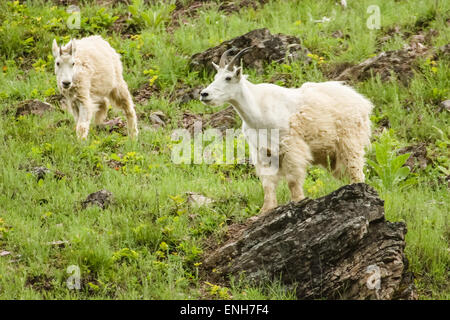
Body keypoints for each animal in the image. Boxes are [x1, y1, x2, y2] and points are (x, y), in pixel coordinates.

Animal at [200, 48, 372, 214]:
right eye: (215, 76)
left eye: (228, 78)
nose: (204, 94)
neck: (258, 111)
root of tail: (362, 102)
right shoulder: (262, 150)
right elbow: (268, 183)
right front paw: (266, 210)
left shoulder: (291, 146)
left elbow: (292, 179)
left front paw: (297, 201)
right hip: (331, 154)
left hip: (350, 140)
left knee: (356, 170)